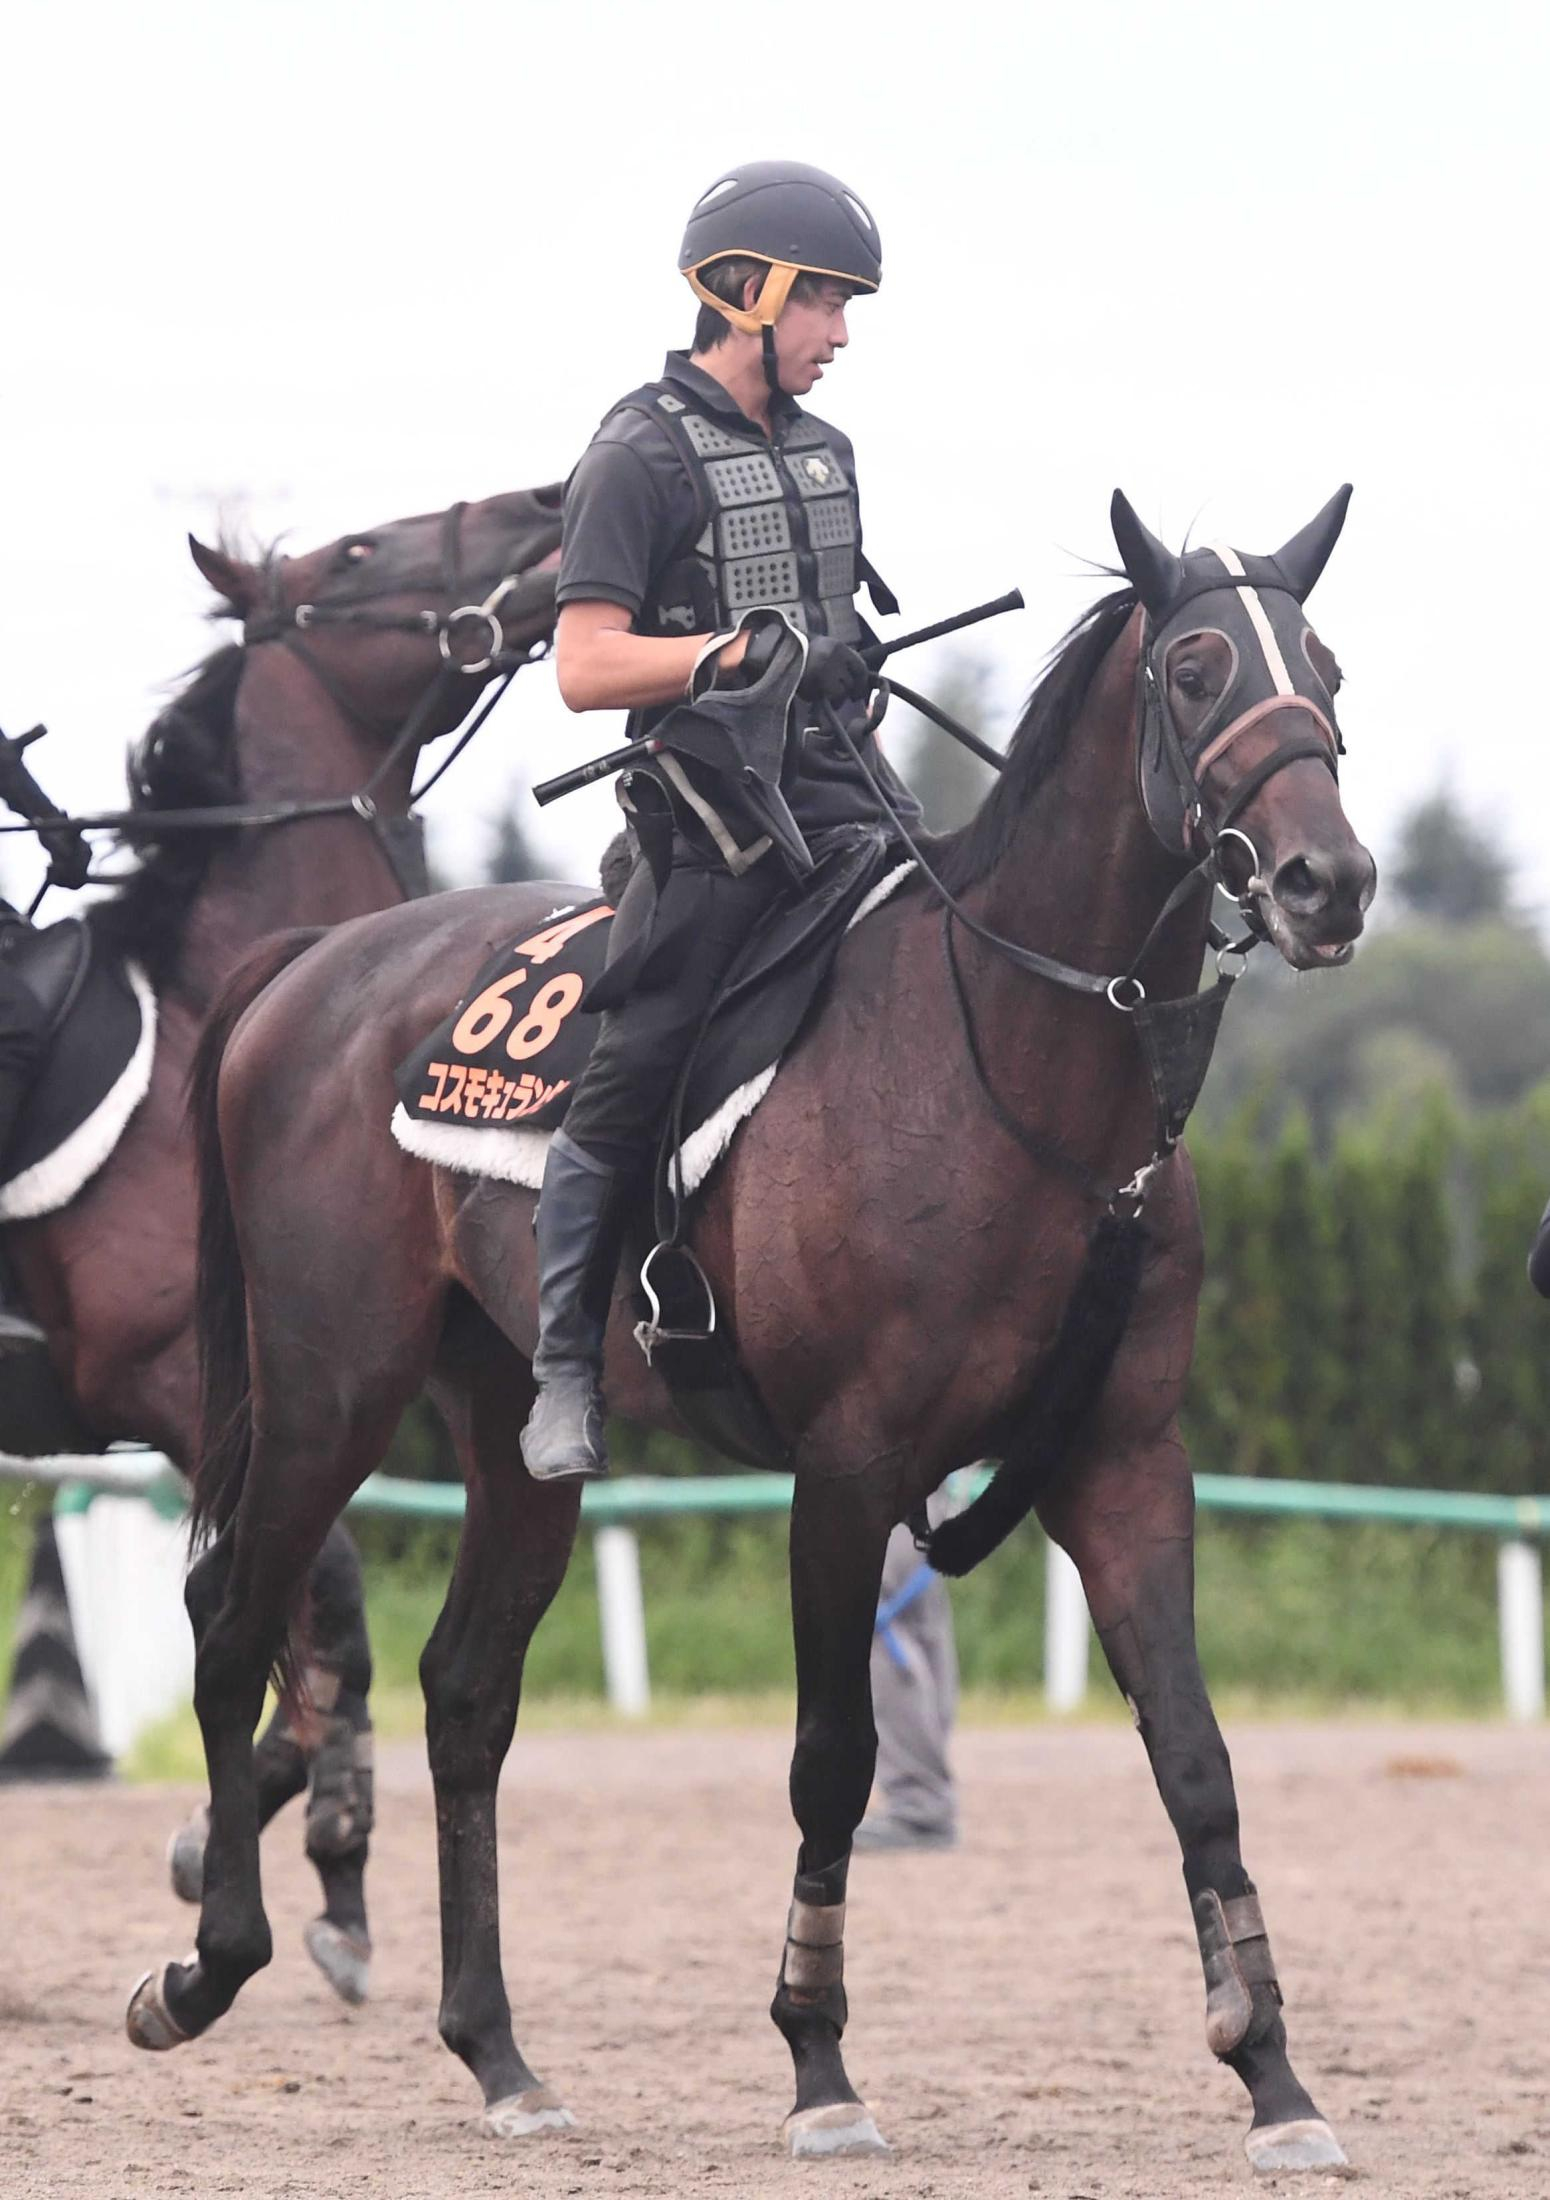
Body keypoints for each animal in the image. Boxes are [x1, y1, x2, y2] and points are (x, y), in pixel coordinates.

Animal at [9, 490, 558, 2006]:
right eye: (362, 554)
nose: (547, 505)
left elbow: (311, 1633)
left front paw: (259, 1838)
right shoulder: (184, 1393)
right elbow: (320, 1607)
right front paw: (310, 1852)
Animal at [129, 495, 1363, 2164]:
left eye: (1327, 670)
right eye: (1191, 668)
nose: (1326, 881)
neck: (1009, 1065)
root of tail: (310, 964)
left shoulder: (1119, 1464)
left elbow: (1194, 1757)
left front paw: (1272, 2075)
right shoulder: (844, 1473)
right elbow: (830, 1761)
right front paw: (817, 2060)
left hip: (512, 1431)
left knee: (465, 1692)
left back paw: (496, 2051)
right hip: (329, 1394)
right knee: (234, 1623)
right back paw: (208, 1966)